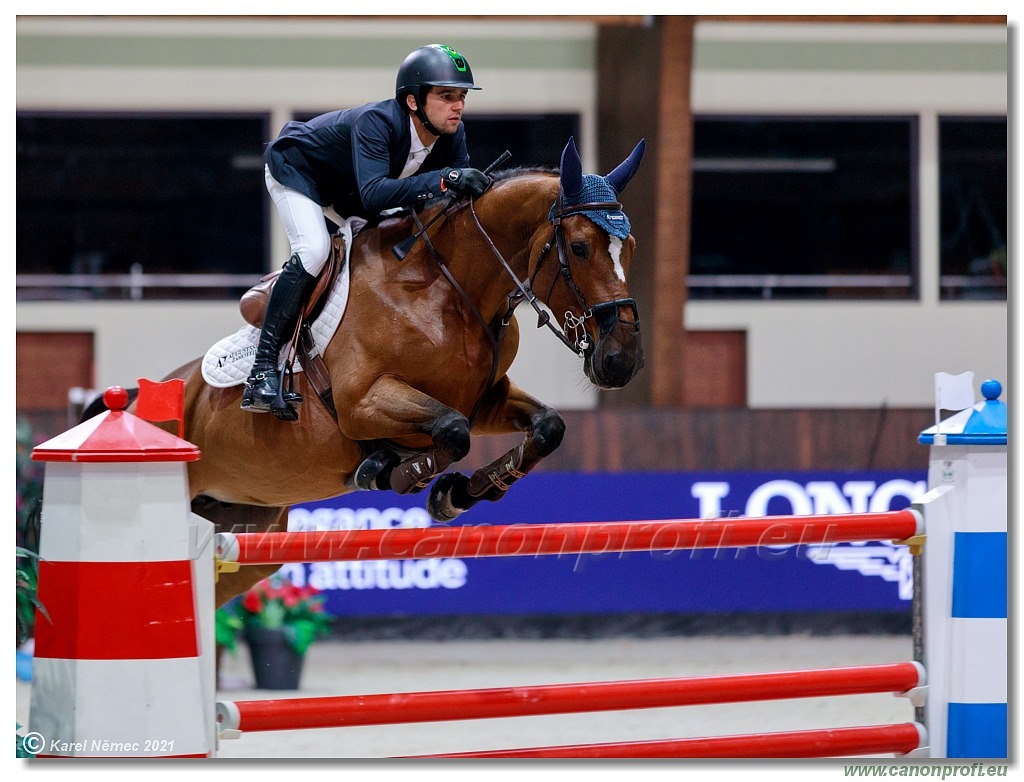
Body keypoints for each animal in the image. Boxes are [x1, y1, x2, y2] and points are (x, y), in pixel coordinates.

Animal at [151, 137, 643, 605]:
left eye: (631, 250)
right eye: (579, 248)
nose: (621, 360)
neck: (447, 289)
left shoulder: (484, 398)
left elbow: (547, 427)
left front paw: (456, 495)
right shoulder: (362, 402)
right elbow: (452, 431)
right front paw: (389, 471)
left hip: (248, 531)